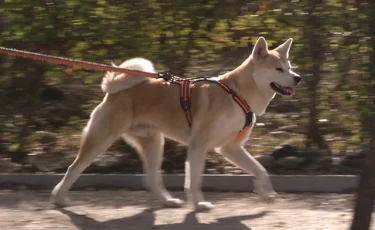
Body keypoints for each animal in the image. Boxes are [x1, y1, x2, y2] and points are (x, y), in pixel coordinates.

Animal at [50, 36, 302, 211]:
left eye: (289, 67)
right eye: (279, 68)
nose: (298, 78)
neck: (237, 94)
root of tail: (113, 90)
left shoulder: (230, 148)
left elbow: (260, 170)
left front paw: (266, 194)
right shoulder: (199, 146)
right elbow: (196, 181)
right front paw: (199, 205)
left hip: (154, 142)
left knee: (152, 178)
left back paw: (168, 201)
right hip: (101, 140)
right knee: (74, 169)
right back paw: (59, 198)